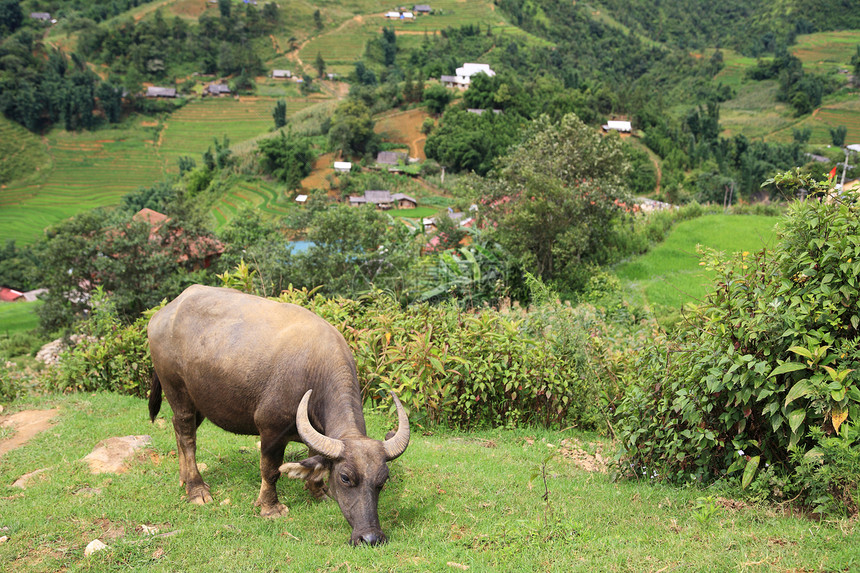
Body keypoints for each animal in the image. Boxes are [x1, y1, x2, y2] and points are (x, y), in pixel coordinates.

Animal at [147, 284, 410, 544]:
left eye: (382, 480)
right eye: (345, 478)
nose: (371, 537)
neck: (314, 370)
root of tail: (162, 315)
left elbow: (314, 462)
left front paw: (317, 492)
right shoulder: (271, 431)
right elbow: (271, 470)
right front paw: (270, 508)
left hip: (200, 400)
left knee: (179, 428)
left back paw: (183, 479)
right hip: (177, 390)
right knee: (187, 436)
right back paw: (196, 489)